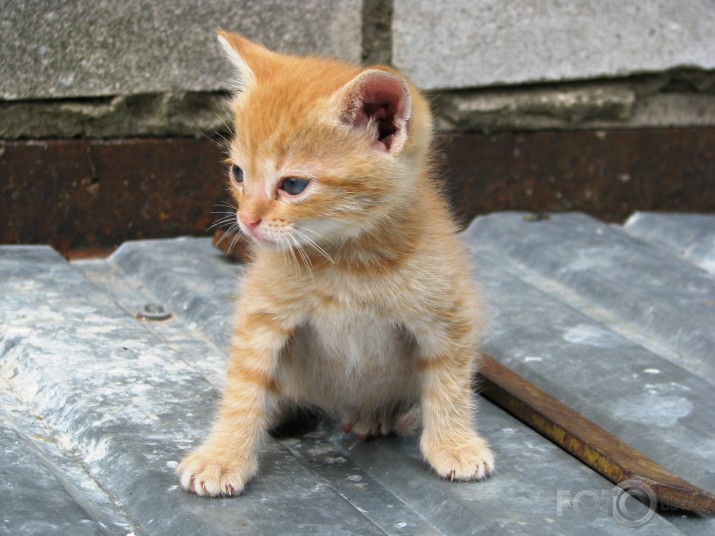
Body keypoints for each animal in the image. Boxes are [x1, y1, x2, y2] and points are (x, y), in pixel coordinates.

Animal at [176, 31, 496, 496]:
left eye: (293, 185)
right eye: (238, 174)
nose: (246, 220)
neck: (348, 261)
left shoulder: (450, 313)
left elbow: (449, 383)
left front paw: (454, 444)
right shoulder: (261, 314)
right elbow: (245, 386)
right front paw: (223, 455)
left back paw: (377, 415)